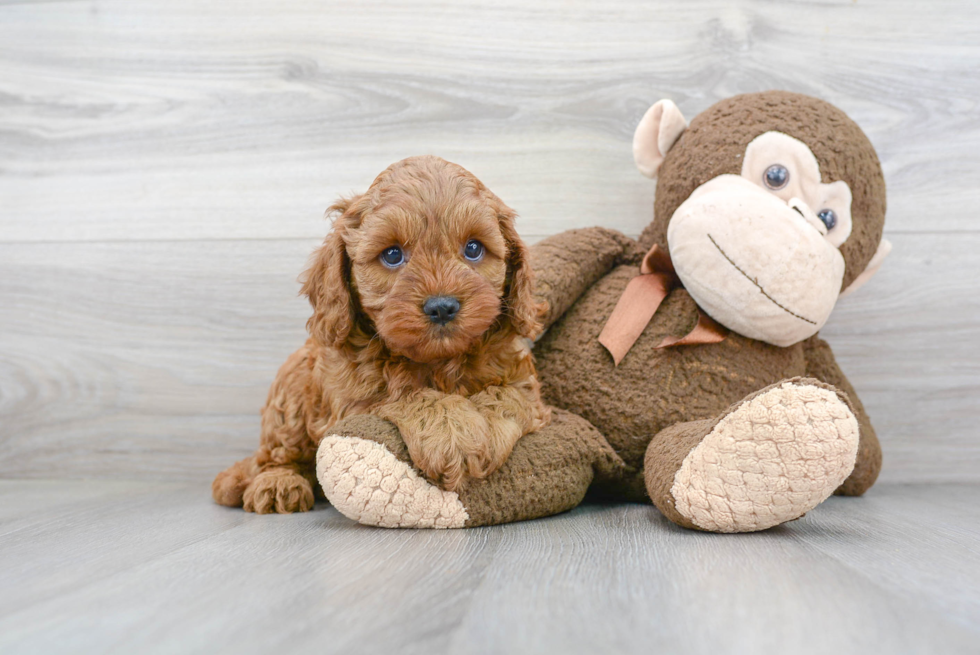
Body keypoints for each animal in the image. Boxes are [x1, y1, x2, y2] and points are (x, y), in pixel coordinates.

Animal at [213, 155, 552, 512]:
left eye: (473, 248)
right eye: (392, 254)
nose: (442, 307)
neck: (439, 362)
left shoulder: (524, 382)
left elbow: (509, 394)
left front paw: (489, 427)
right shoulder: (353, 401)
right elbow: (408, 395)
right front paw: (451, 430)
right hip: (292, 387)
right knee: (276, 455)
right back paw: (277, 482)